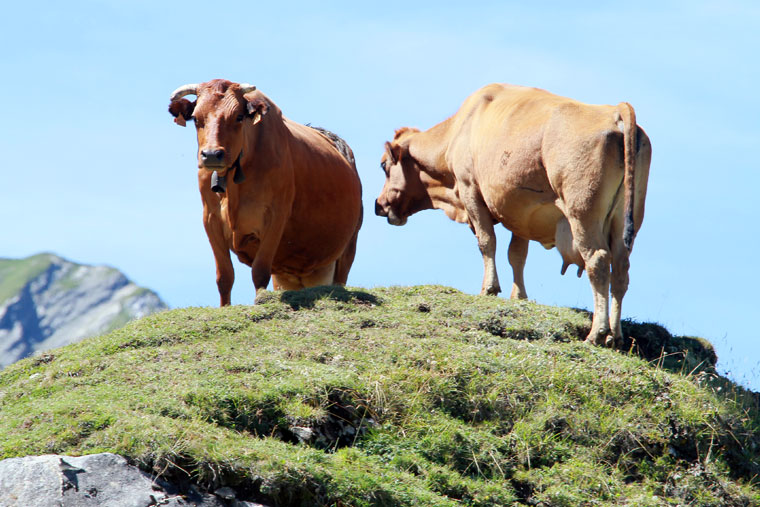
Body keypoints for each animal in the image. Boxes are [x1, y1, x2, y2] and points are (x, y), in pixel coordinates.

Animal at [168, 79, 362, 306]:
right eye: (196, 118)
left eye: (239, 116)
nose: (212, 154)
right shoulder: (210, 218)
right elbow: (224, 276)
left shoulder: (275, 217)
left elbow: (259, 271)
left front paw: (259, 302)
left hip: (348, 247)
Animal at [378, 83, 652, 348]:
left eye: (384, 166)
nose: (378, 205)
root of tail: (614, 110)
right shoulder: (520, 214)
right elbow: (517, 255)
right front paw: (519, 296)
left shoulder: (470, 190)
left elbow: (487, 242)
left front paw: (489, 288)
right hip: (625, 220)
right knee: (620, 269)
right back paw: (615, 335)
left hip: (582, 212)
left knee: (597, 260)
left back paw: (597, 333)